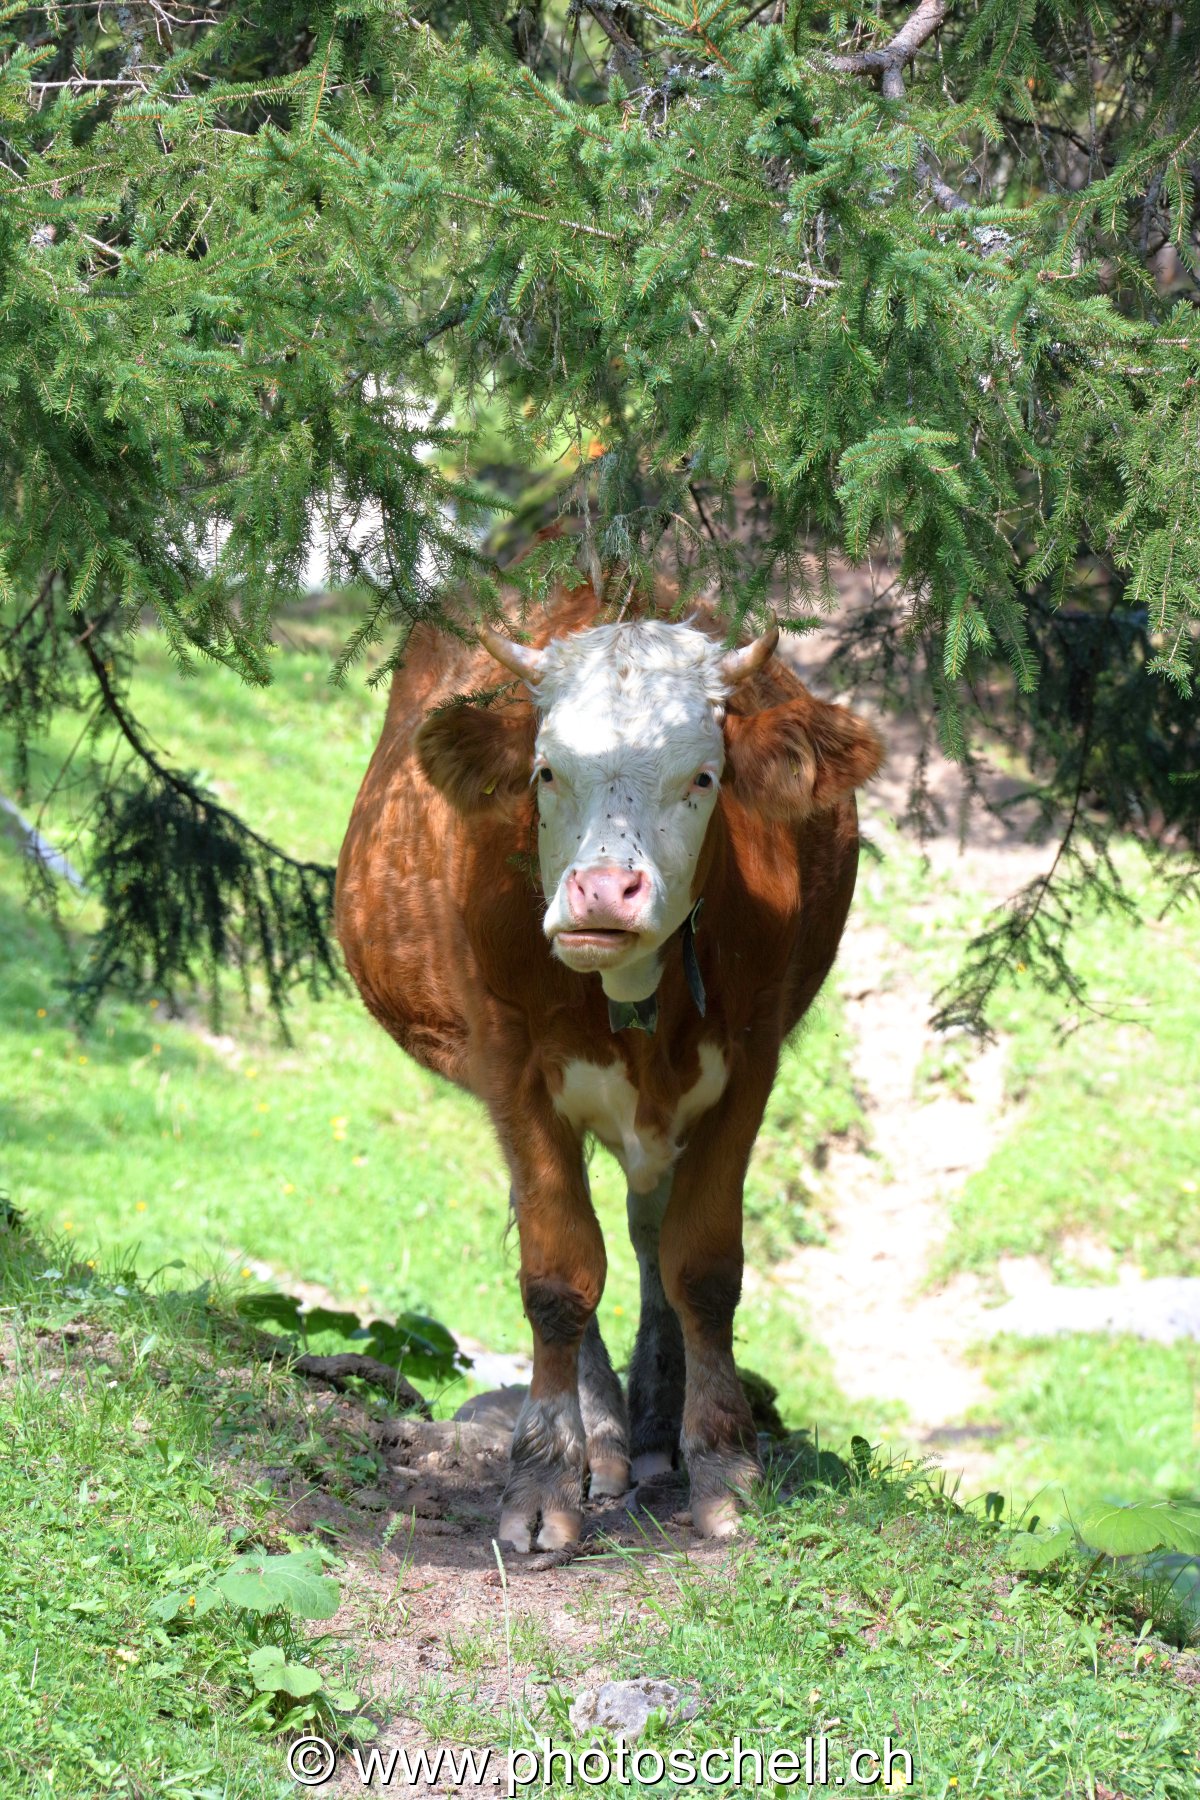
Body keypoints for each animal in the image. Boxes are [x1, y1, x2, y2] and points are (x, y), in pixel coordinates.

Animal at [335, 577, 883, 1554]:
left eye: (703, 776)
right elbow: (558, 1273)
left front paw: (723, 1466)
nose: (601, 892)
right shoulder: (513, 1068)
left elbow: (701, 1267)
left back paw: (655, 1430)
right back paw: (603, 1438)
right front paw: (544, 1481)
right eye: (547, 772)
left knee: (648, 1233)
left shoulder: (750, 1065)